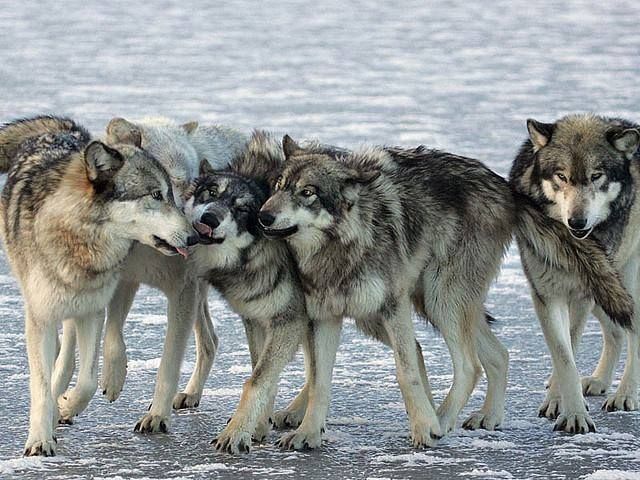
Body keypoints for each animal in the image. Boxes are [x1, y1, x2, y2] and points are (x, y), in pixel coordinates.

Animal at [0, 116, 197, 456]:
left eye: (170, 194)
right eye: (155, 196)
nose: (196, 236)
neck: (80, 239)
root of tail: (67, 129)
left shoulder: (91, 312)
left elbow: (88, 380)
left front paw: (66, 406)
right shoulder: (40, 317)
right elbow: (41, 387)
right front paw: (40, 440)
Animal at [258, 137, 515, 448]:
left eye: (307, 192)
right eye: (278, 186)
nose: (263, 216)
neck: (342, 248)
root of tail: (501, 184)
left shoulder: (394, 306)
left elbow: (406, 372)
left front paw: (424, 428)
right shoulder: (324, 317)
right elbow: (319, 381)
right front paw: (308, 433)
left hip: (439, 300)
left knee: (468, 366)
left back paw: (440, 421)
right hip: (417, 307)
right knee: (498, 354)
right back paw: (488, 417)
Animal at [509, 113, 639, 433]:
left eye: (596, 176)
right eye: (562, 176)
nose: (577, 222)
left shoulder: (582, 295)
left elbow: (571, 345)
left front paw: (570, 412)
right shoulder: (545, 294)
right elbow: (563, 355)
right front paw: (565, 406)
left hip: (626, 286)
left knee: (634, 335)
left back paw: (625, 394)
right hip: (608, 294)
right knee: (616, 333)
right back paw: (598, 381)